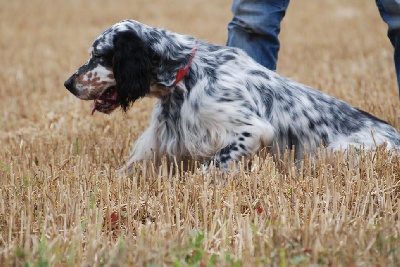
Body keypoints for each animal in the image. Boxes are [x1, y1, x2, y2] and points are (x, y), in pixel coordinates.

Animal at [64, 20, 398, 172]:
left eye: (99, 56)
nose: (68, 83)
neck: (183, 74)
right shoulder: (162, 141)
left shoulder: (252, 130)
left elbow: (210, 167)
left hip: (338, 151)